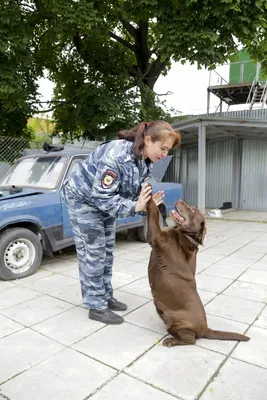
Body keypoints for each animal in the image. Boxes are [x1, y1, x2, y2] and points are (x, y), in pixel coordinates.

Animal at [146, 195, 250, 346]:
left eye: (193, 210)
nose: (179, 199)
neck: (185, 235)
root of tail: (206, 329)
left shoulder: (155, 236)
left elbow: (153, 211)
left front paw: (149, 194)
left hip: (175, 318)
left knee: (191, 339)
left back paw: (171, 340)